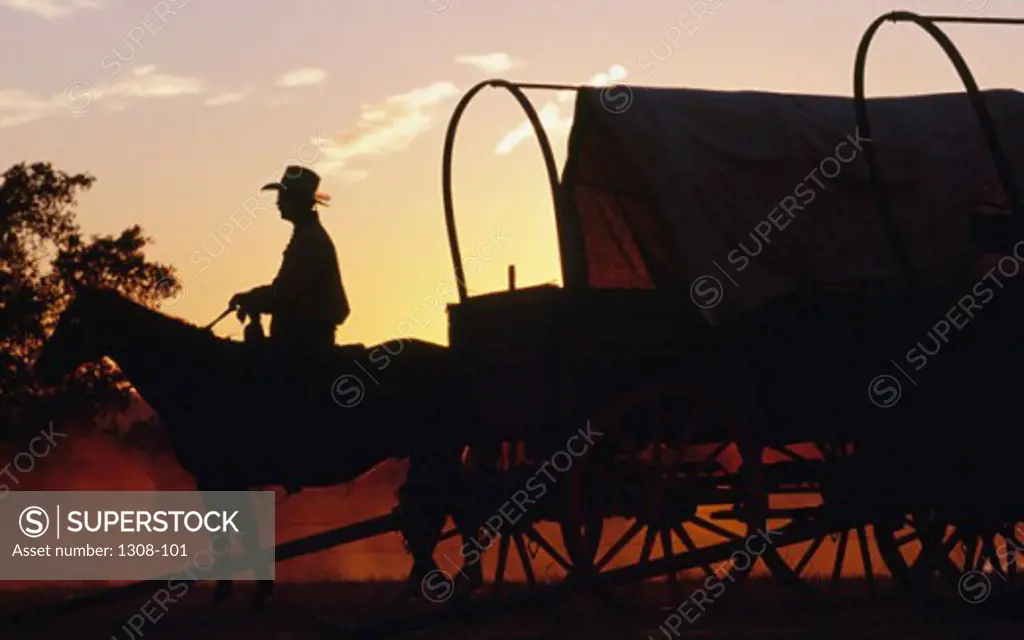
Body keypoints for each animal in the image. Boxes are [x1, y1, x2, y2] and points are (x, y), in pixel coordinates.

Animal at [34, 284, 475, 602]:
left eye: (75, 319)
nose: (42, 366)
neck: (195, 372)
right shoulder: (231, 480)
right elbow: (245, 532)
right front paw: (260, 589)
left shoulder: (215, 478)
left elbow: (228, 535)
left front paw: (228, 593)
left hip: (434, 451)